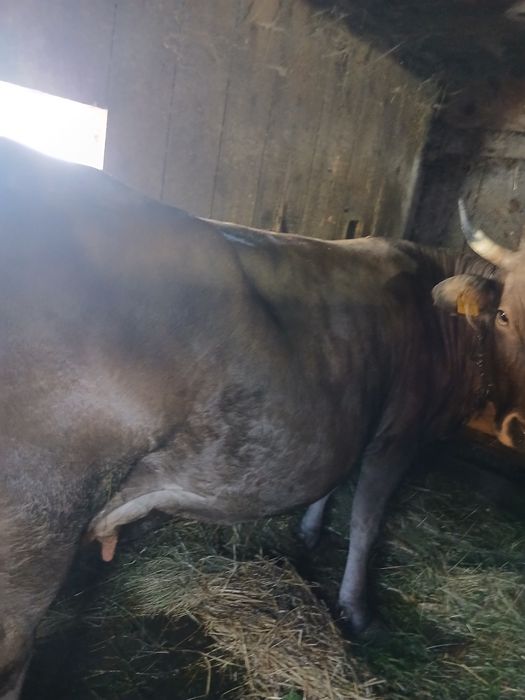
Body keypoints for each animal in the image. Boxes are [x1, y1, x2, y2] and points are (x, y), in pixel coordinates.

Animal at [1, 137, 524, 699]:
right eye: (504, 315)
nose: (519, 427)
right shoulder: (398, 432)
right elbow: (366, 521)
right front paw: (359, 613)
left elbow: (332, 483)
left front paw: (310, 533)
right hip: (36, 532)